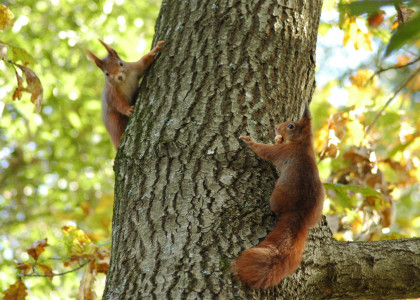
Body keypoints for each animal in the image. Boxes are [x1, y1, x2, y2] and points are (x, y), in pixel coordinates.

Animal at [233, 102, 324, 288]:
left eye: (290, 126)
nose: (275, 127)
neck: (302, 142)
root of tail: (301, 213)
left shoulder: (283, 151)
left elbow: (265, 151)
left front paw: (248, 141)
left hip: (277, 197)